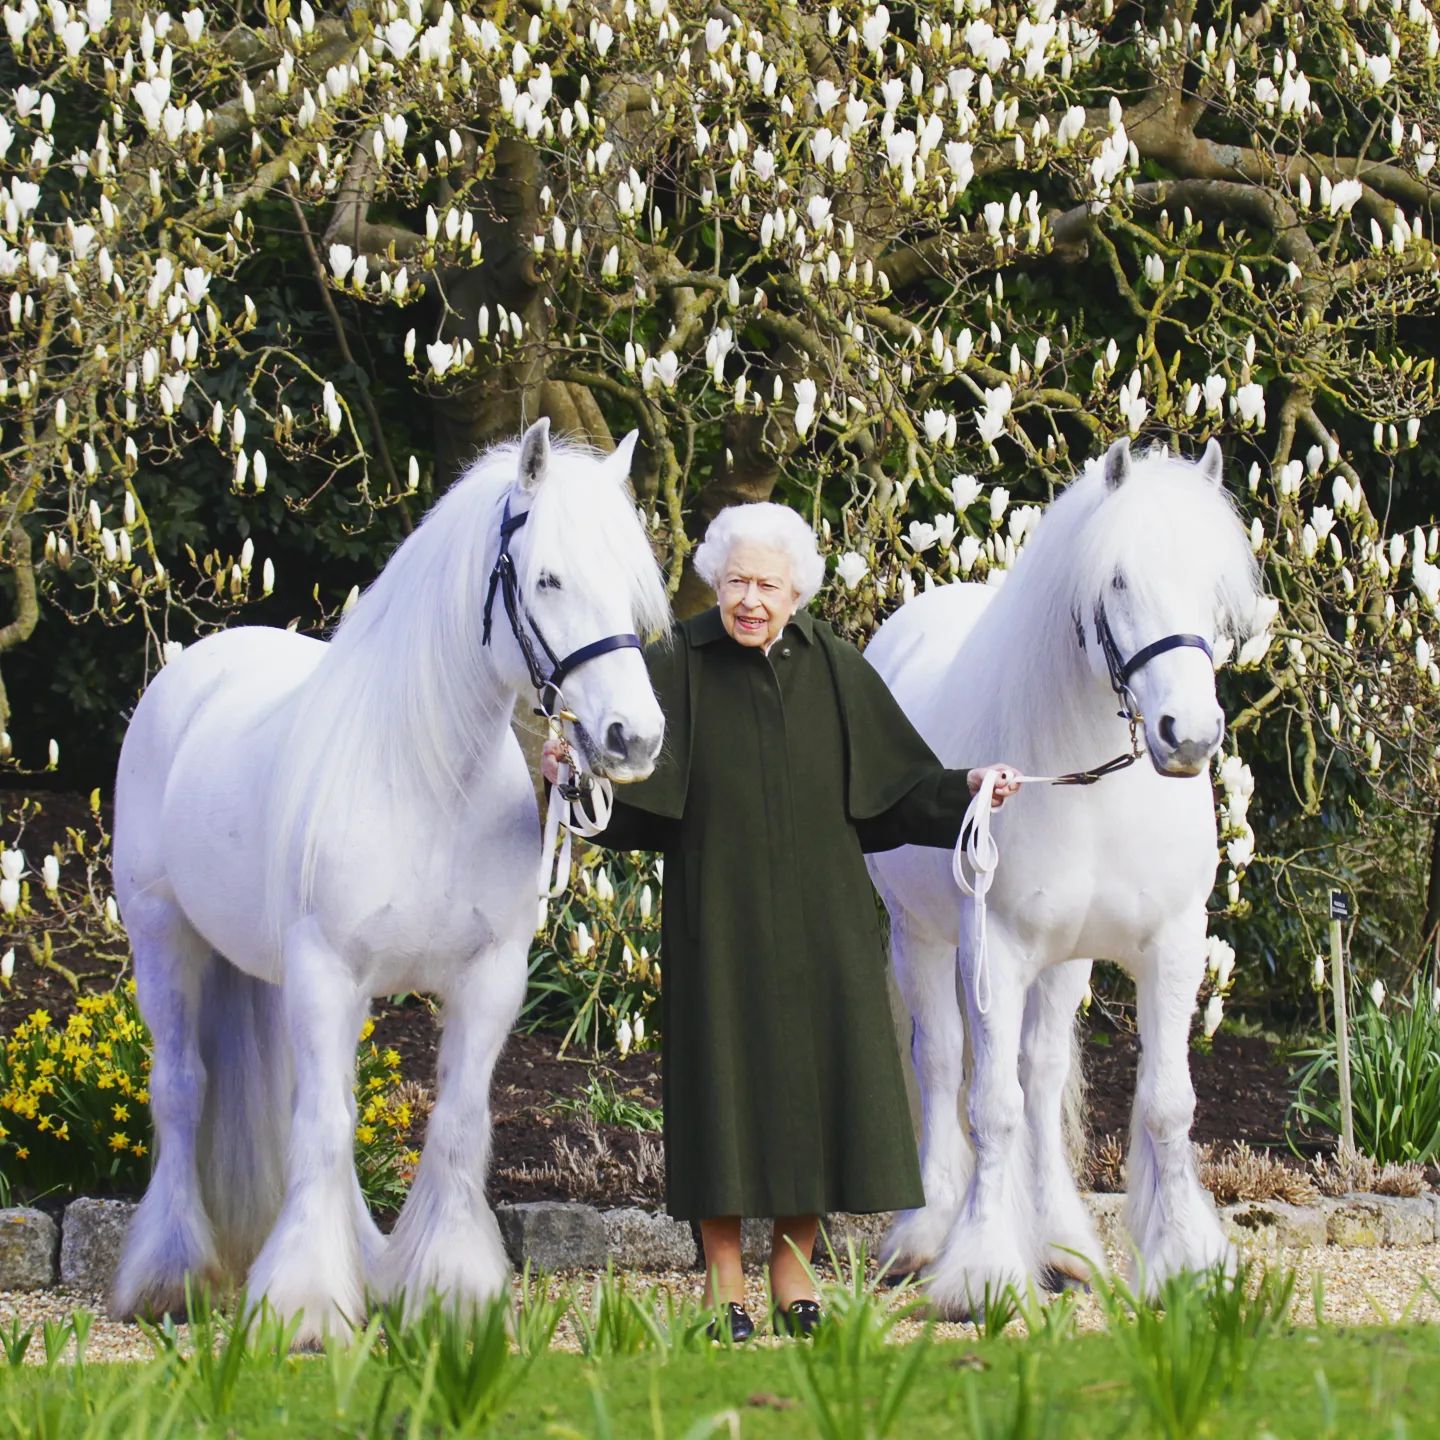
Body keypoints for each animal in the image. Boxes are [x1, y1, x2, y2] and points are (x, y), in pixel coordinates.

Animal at [109, 420, 665, 1336]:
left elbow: (455, 1124)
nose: (635, 737)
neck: (428, 780)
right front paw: (303, 1305)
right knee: (183, 1090)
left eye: (628, 585)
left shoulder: (488, 979)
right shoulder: (328, 971)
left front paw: (451, 1289)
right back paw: (171, 1275)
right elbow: (325, 1128)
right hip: (165, 940)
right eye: (547, 577)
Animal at [864, 440, 1261, 1319]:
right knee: (941, 1061)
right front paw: (980, 1271)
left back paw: (1061, 1244)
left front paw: (1186, 1262)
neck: (1094, 786)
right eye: (1116, 580)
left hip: (1066, 960)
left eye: (1214, 585)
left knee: (1041, 1076)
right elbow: (990, 1105)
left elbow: (1164, 1103)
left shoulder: (1172, 944)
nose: (1190, 735)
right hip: (922, 937)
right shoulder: (996, 948)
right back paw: (925, 1234)